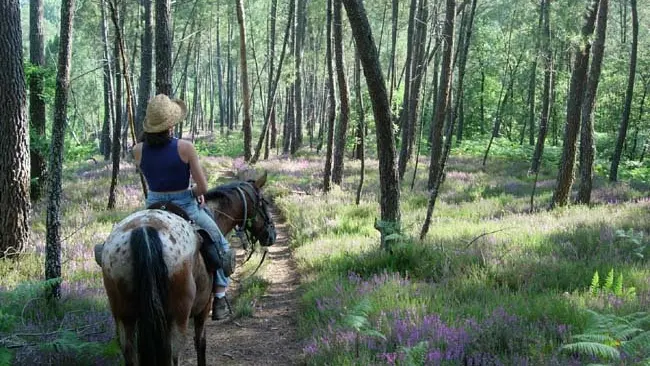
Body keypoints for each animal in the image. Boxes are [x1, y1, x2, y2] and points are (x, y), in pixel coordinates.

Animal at [97, 174, 274, 366]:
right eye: (264, 202)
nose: (272, 235)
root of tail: (144, 229)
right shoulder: (203, 309)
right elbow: (201, 343)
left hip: (124, 316)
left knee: (130, 354)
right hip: (178, 317)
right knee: (174, 357)